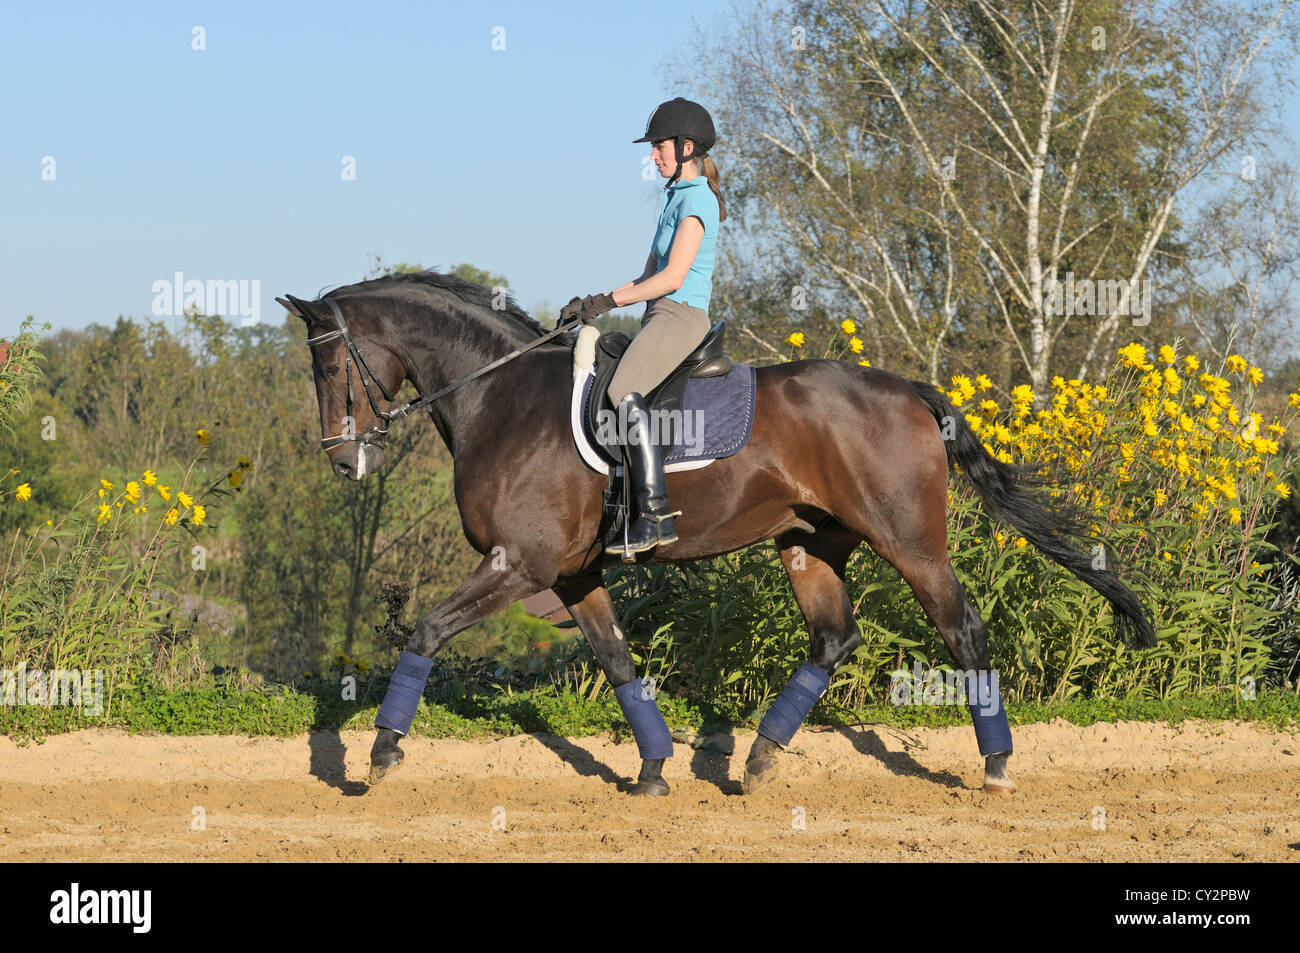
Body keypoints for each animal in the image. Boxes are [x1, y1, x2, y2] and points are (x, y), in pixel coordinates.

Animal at [277, 270, 1154, 797]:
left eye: (330, 368)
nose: (343, 459)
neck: (501, 395)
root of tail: (909, 389)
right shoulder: (570, 575)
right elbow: (618, 661)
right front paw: (654, 769)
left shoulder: (520, 563)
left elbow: (425, 628)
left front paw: (381, 753)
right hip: (811, 542)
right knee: (835, 637)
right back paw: (760, 757)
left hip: (911, 544)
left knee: (962, 628)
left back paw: (997, 764)